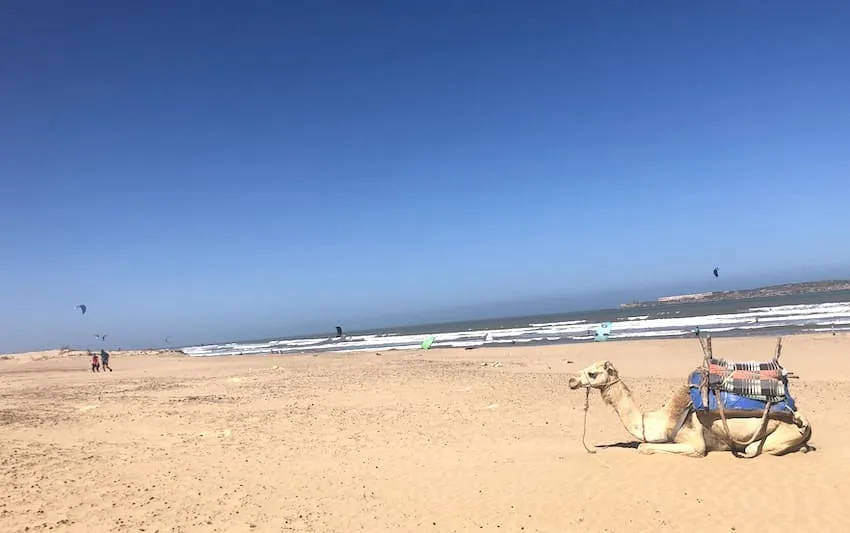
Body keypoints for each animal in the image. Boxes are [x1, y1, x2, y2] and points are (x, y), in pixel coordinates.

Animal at [568, 360, 814, 457]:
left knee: (752, 449)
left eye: (592, 373)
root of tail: (802, 419)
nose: (571, 380)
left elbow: (643, 446)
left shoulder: (695, 443)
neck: (663, 420)